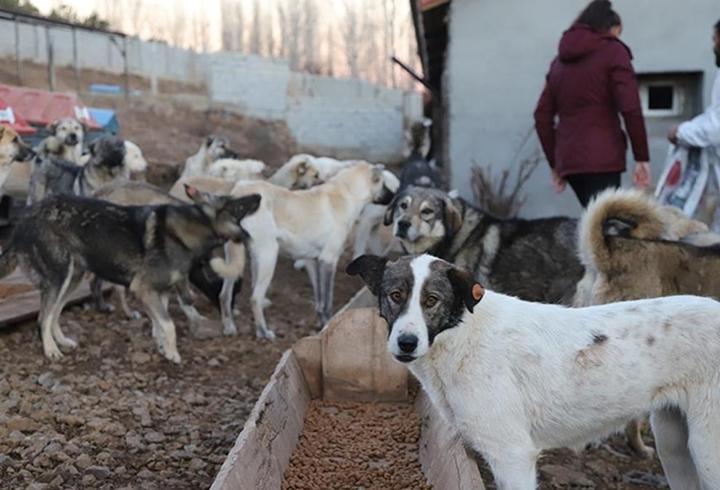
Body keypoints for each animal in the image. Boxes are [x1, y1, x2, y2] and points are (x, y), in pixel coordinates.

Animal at [348, 253, 720, 490]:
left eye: (431, 300)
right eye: (395, 295)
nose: (406, 342)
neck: (462, 335)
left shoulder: (512, 456)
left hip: (707, 450)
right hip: (674, 445)